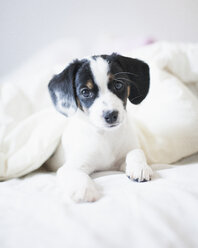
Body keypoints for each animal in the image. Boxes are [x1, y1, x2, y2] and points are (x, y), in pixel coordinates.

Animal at [46, 53, 153, 202]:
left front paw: (139, 167)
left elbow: (136, 152)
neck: (106, 136)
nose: (111, 115)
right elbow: (75, 174)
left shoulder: (122, 158)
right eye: (85, 92)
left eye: (118, 84)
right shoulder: (71, 166)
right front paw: (83, 189)